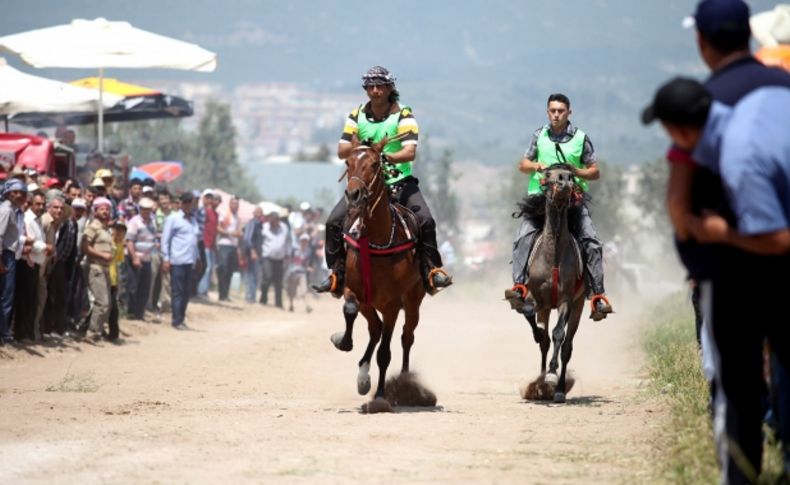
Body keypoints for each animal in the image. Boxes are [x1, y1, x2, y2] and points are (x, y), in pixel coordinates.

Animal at [332, 134, 430, 406]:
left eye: (375, 164)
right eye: (348, 162)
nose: (353, 194)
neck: (376, 238)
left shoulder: (392, 304)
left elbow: (385, 352)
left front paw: (380, 396)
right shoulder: (355, 291)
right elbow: (350, 310)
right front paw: (343, 342)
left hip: (413, 299)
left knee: (406, 337)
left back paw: (404, 383)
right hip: (371, 302)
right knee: (374, 330)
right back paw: (363, 376)